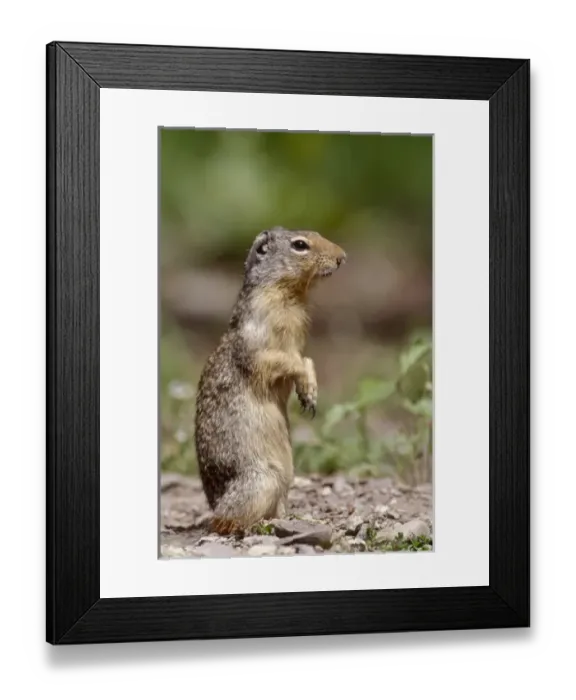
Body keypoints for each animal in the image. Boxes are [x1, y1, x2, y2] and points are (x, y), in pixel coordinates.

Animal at [194, 226, 346, 535]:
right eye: (300, 245)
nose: (342, 257)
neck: (290, 294)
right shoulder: (262, 343)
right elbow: (285, 361)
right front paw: (306, 387)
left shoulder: (297, 344)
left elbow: (306, 360)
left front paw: (310, 394)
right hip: (263, 480)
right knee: (224, 522)